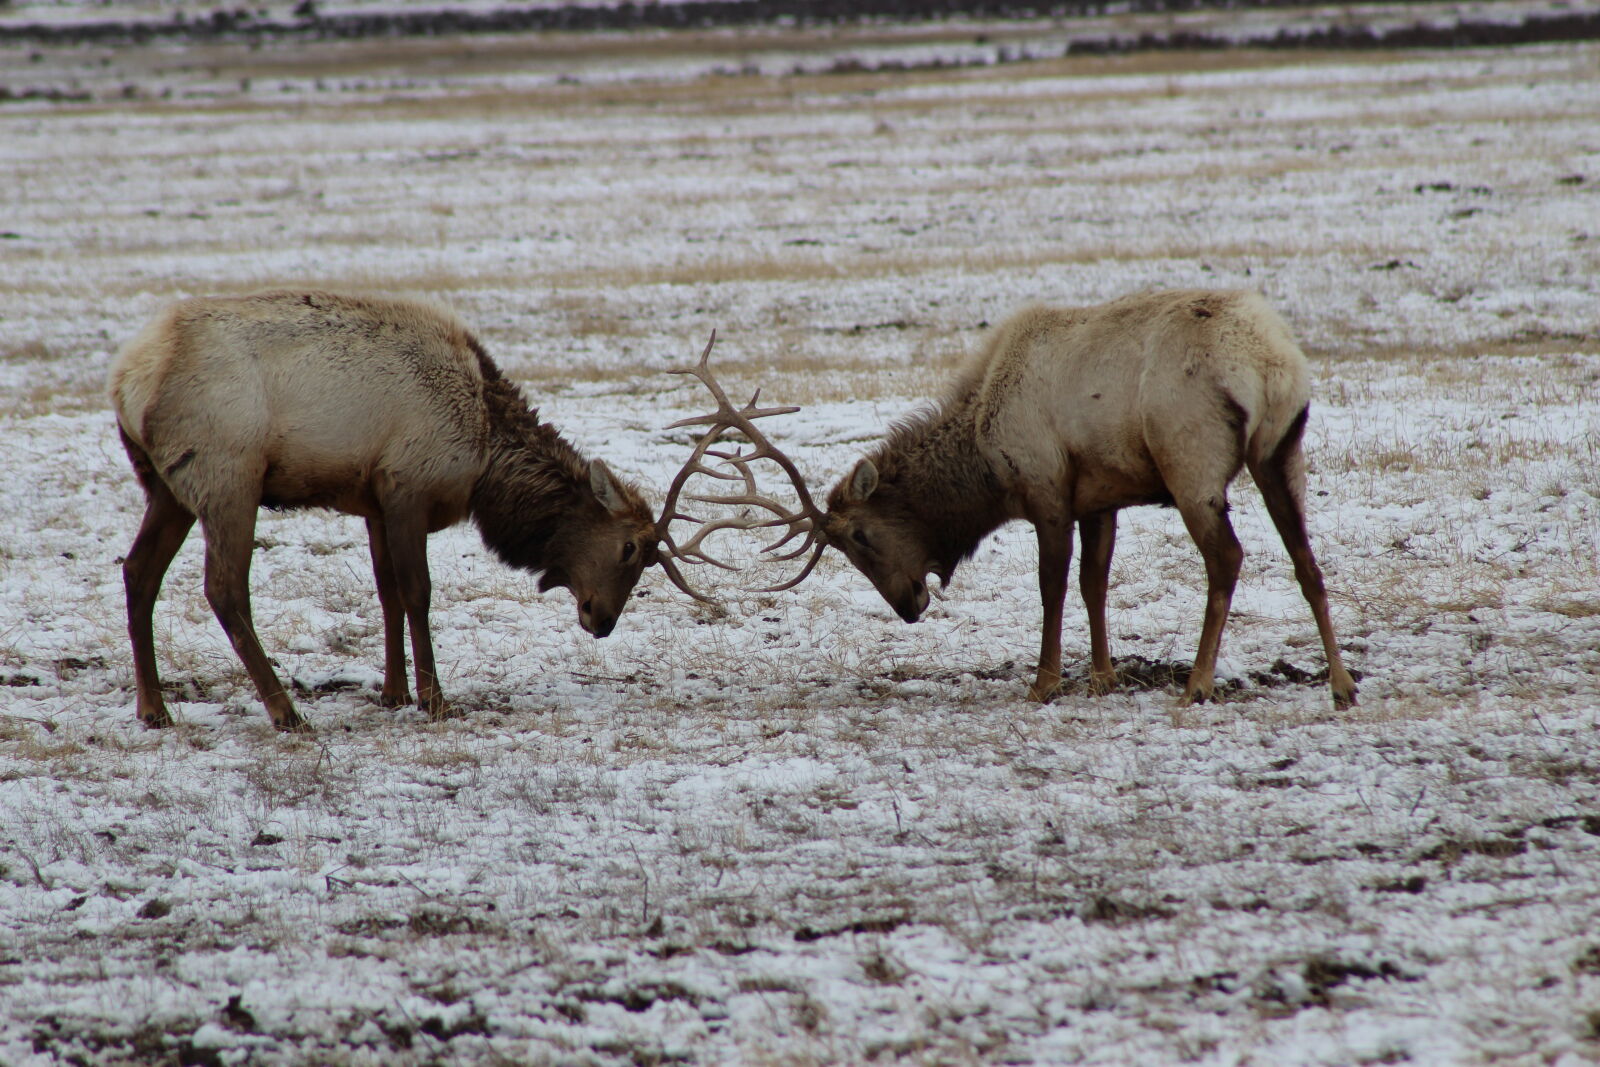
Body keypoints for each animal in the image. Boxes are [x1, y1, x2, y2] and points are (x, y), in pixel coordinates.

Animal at [109, 287, 710, 729]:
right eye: (630, 548)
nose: (602, 620)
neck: (485, 458)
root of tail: (127, 382)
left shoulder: (372, 499)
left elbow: (388, 592)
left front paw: (395, 693)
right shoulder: (407, 487)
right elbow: (418, 593)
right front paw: (434, 699)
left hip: (166, 486)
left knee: (138, 571)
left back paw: (154, 708)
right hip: (228, 473)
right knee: (224, 587)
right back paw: (286, 711)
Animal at [688, 287, 1363, 713]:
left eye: (858, 535)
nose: (908, 606)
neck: (983, 464)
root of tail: (1270, 363)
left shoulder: (1047, 489)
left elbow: (1053, 586)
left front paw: (1045, 682)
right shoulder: (1099, 497)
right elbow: (1095, 583)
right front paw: (1102, 676)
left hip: (1190, 458)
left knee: (1227, 558)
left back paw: (1198, 684)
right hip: (1281, 450)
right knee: (1307, 561)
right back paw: (1341, 685)